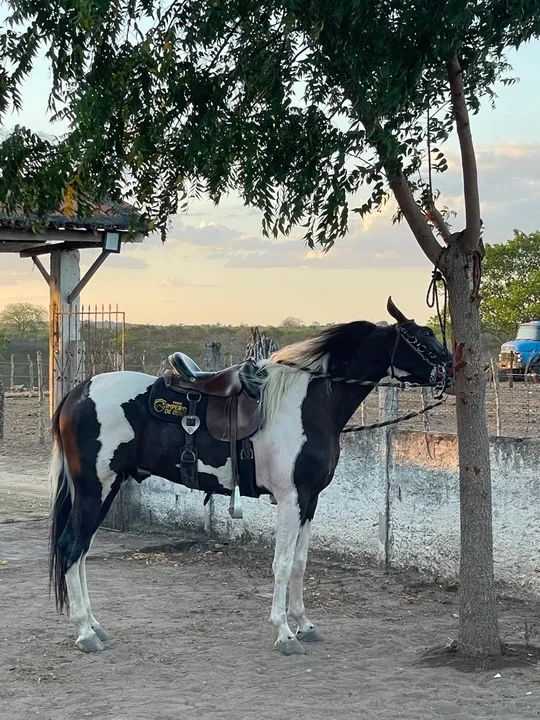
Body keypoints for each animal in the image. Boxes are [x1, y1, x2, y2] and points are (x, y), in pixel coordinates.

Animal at [49, 298, 453, 655]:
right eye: (421, 337)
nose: (450, 371)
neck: (309, 403)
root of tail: (78, 393)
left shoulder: (310, 500)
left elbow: (301, 563)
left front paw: (304, 624)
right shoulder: (290, 499)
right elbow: (283, 563)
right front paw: (284, 633)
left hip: (107, 488)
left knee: (82, 552)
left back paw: (95, 625)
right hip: (95, 489)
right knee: (71, 547)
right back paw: (85, 632)